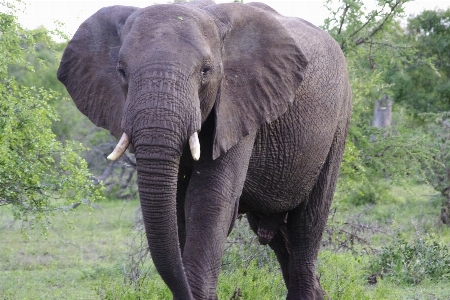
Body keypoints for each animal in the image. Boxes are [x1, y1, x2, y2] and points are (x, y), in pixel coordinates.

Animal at [57, 1, 352, 298]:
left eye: (206, 70)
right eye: (121, 71)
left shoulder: (239, 102)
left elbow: (209, 198)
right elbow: (177, 206)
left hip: (339, 121)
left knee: (307, 224)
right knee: (278, 235)